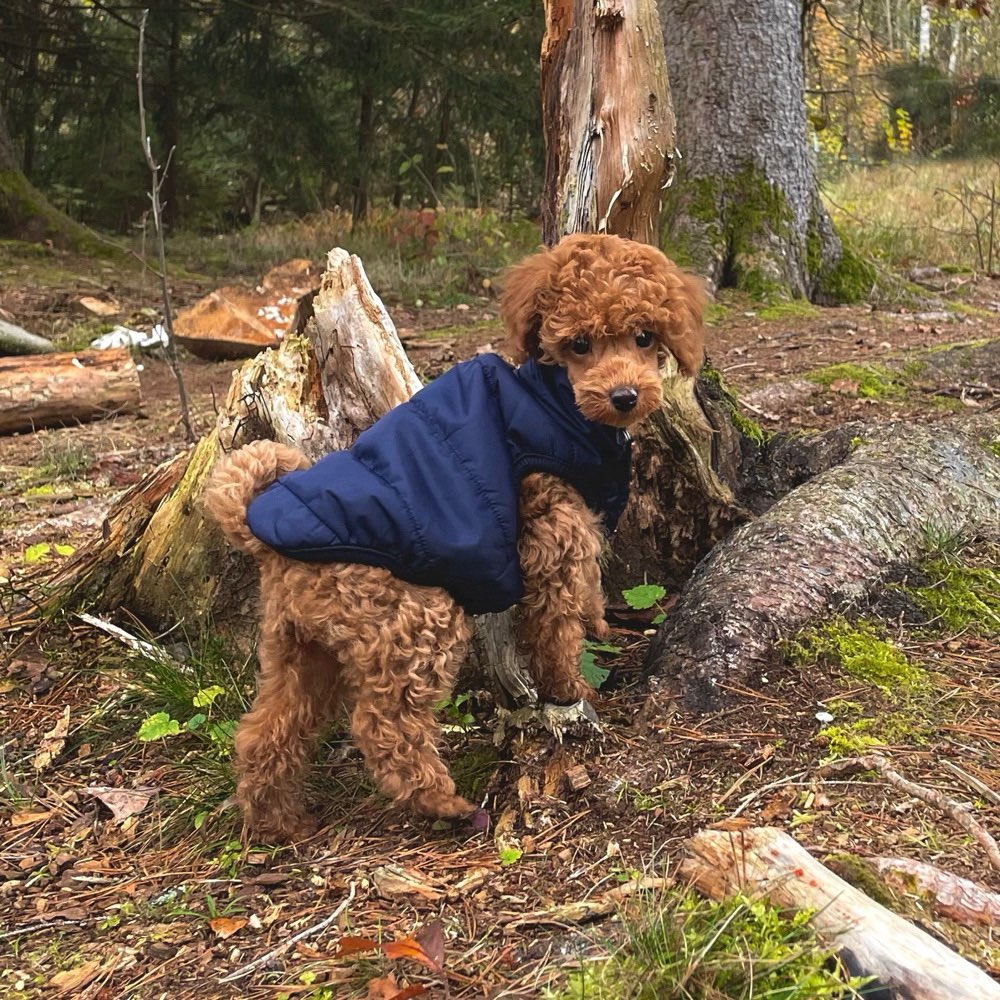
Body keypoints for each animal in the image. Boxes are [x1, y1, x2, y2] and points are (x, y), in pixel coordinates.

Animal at [203, 230, 704, 840]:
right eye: (579, 345)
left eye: (643, 336)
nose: (625, 396)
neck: (552, 401)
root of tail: (263, 530)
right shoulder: (554, 530)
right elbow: (557, 625)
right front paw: (570, 691)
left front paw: (598, 630)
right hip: (416, 616)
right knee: (383, 723)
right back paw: (442, 802)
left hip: (298, 647)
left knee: (267, 728)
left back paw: (277, 820)